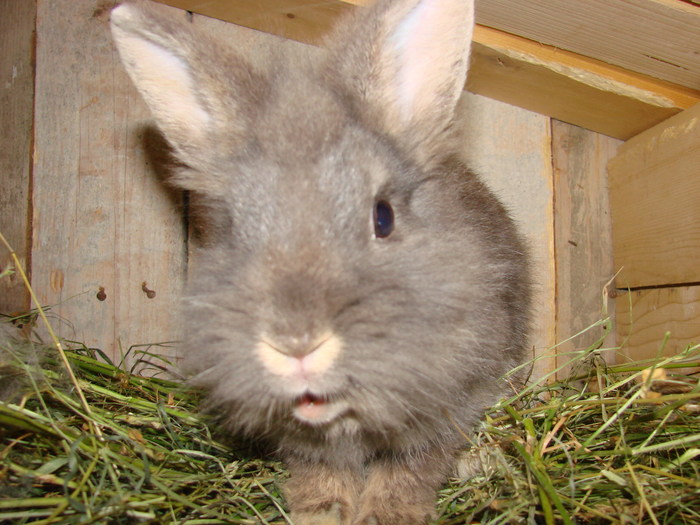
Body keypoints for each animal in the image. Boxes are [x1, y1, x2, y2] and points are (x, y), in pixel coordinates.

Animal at [109, 1, 528, 524]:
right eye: (236, 228)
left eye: (383, 217)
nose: (296, 345)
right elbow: (320, 472)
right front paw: (322, 513)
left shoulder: (454, 401)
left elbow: (411, 467)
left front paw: (388, 515)